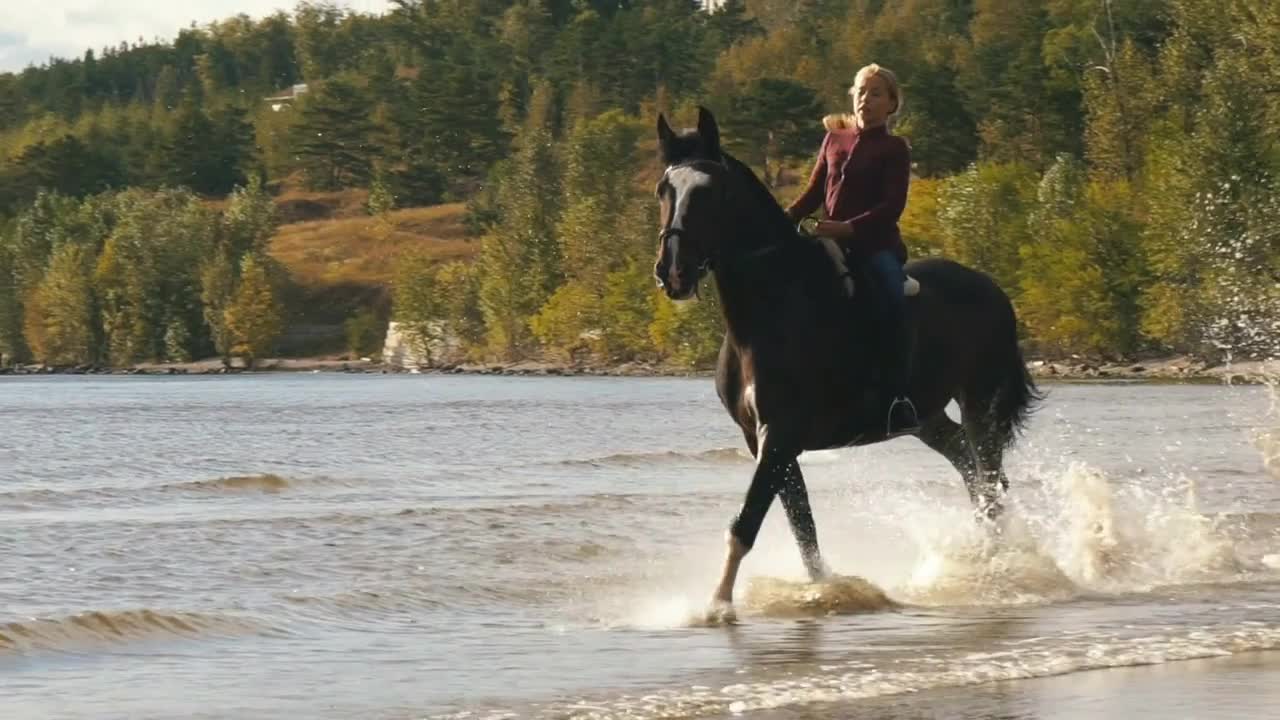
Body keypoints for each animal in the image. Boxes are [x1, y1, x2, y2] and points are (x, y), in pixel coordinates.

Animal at [650, 106, 1039, 609]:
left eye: (710, 192)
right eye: (664, 189)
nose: (672, 271)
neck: (774, 308)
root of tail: (993, 291)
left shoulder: (780, 436)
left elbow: (747, 523)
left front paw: (716, 608)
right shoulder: (765, 441)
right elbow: (802, 527)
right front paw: (825, 591)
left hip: (980, 404)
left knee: (990, 479)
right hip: (926, 418)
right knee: (972, 470)